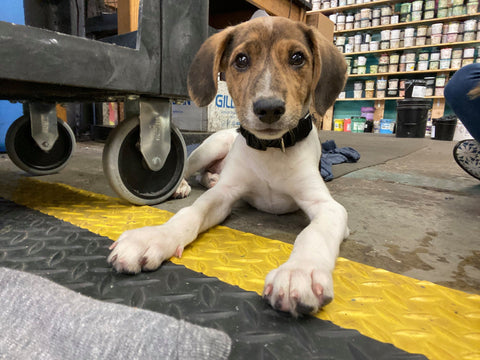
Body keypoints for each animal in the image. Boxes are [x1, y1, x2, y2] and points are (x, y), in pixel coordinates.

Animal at [108, 16, 348, 316]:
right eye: (242, 60)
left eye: (297, 58)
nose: (269, 108)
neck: (271, 149)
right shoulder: (222, 196)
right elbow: (190, 213)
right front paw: (154, 237)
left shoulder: (328, 207)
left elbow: (313, 233)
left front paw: (299, 272)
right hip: (211, 147)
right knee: (191, 168)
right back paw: (182, 185)